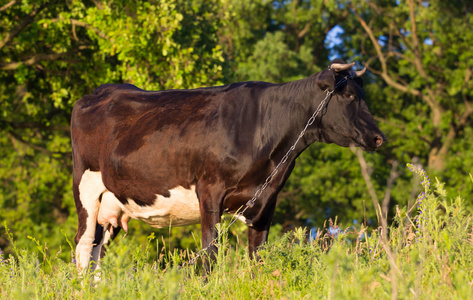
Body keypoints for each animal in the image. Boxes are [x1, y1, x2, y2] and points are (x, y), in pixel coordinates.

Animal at [72, 59, 386, 270]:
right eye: (348, 95)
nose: (378, 137)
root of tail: (100, 92)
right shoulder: (210, 191)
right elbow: (210, 252)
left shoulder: (266, 200)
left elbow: (257, 255)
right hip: (86, 190)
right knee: (83, 246)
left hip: (112, 205)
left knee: (97, 252)